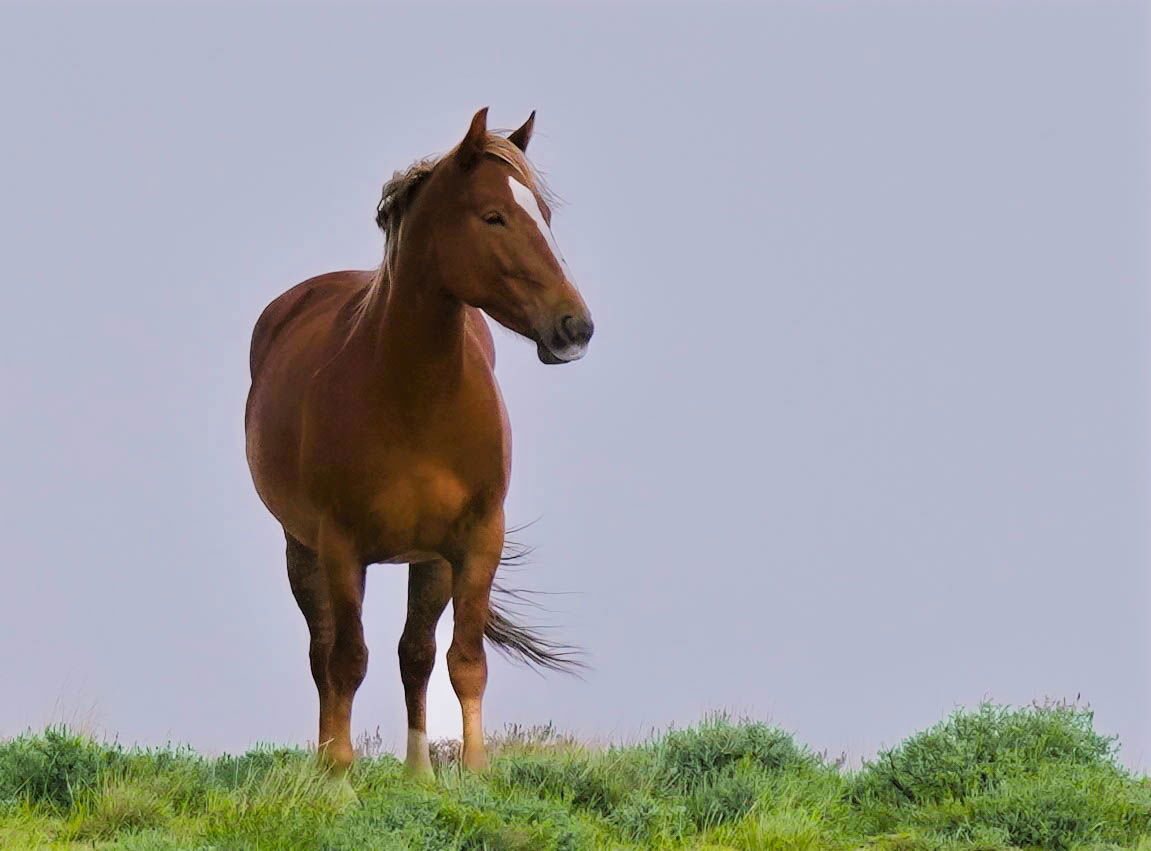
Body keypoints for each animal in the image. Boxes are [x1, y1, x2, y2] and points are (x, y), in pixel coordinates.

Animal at [248, 109, 598, 773]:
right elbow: (347, 661)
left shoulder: (476, 540)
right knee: (324, 653)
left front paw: (474, 773)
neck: (414, 399)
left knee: (416, 653)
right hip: (301, 547)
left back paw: (421, 773)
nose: (576, 326)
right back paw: (327, 764)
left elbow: (463, 660)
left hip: (428, 561)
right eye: (494, 216)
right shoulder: (341, 547)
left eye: (543, 212)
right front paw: (340, 778)